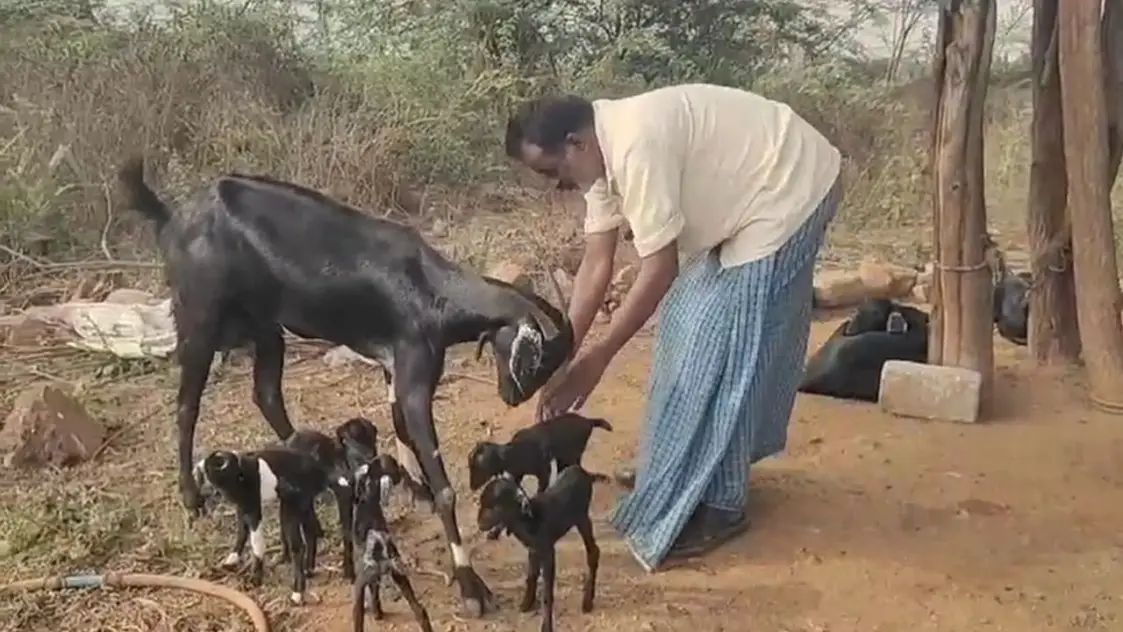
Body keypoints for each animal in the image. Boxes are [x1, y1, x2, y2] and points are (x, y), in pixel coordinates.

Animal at [193, 444, 323, 601]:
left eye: (209, 467)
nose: (196, 469)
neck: (240, 472)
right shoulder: (242, 508)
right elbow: (242, 531)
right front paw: (233, 559)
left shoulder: (253, 510)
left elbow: (257, 542)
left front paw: (255, 578)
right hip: (303, 506)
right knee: (311, 533)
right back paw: (309, 569)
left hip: (292, 508)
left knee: (298, 547)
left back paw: (297, 592)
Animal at [478, 464, 610, 632]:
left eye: (493, 506)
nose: (479, 522)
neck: (527, 520)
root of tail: (581, 471)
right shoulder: (533, 550)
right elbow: (531, 576)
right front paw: (526, 603)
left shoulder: (548, 553)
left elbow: (547, 593)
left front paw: (546, 625)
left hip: (582, 518)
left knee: (593, 552)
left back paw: (587, 601)